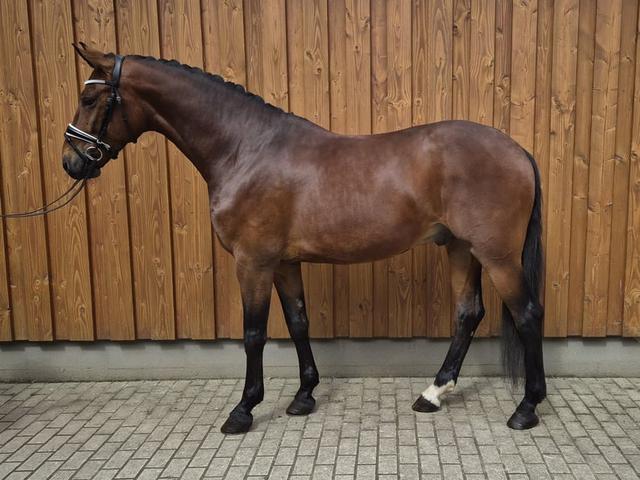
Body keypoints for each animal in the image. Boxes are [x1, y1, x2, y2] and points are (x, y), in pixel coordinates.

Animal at [63, 43, 546, 434]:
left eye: (89, 98)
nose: (72, 161)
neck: (246, 150)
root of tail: (518, 150)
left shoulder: (252, 261)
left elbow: (254, 332)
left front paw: (243, 411)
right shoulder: (283, 262)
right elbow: (298, 322)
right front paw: (303, 397)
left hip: (497, 256)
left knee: (527, 314)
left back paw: (525, 409)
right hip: (461, 248)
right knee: (468, 313)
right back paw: (432, 394)